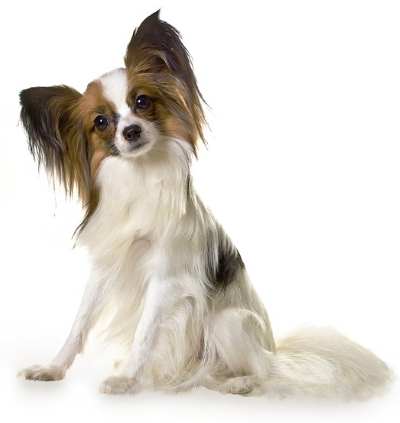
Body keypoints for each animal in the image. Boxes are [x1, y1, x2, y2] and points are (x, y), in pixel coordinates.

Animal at [18, 9, 390, 400]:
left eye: (142, 102)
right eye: (101, 122)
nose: (131, 131)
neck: (139, 177)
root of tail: (274, 350)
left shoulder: (165, 277)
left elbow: (144, 333)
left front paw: (127, 379)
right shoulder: (104, 270)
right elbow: (79, 324)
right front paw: (53, 368)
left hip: (230, 322)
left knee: (263, 373)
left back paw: (240, 382)